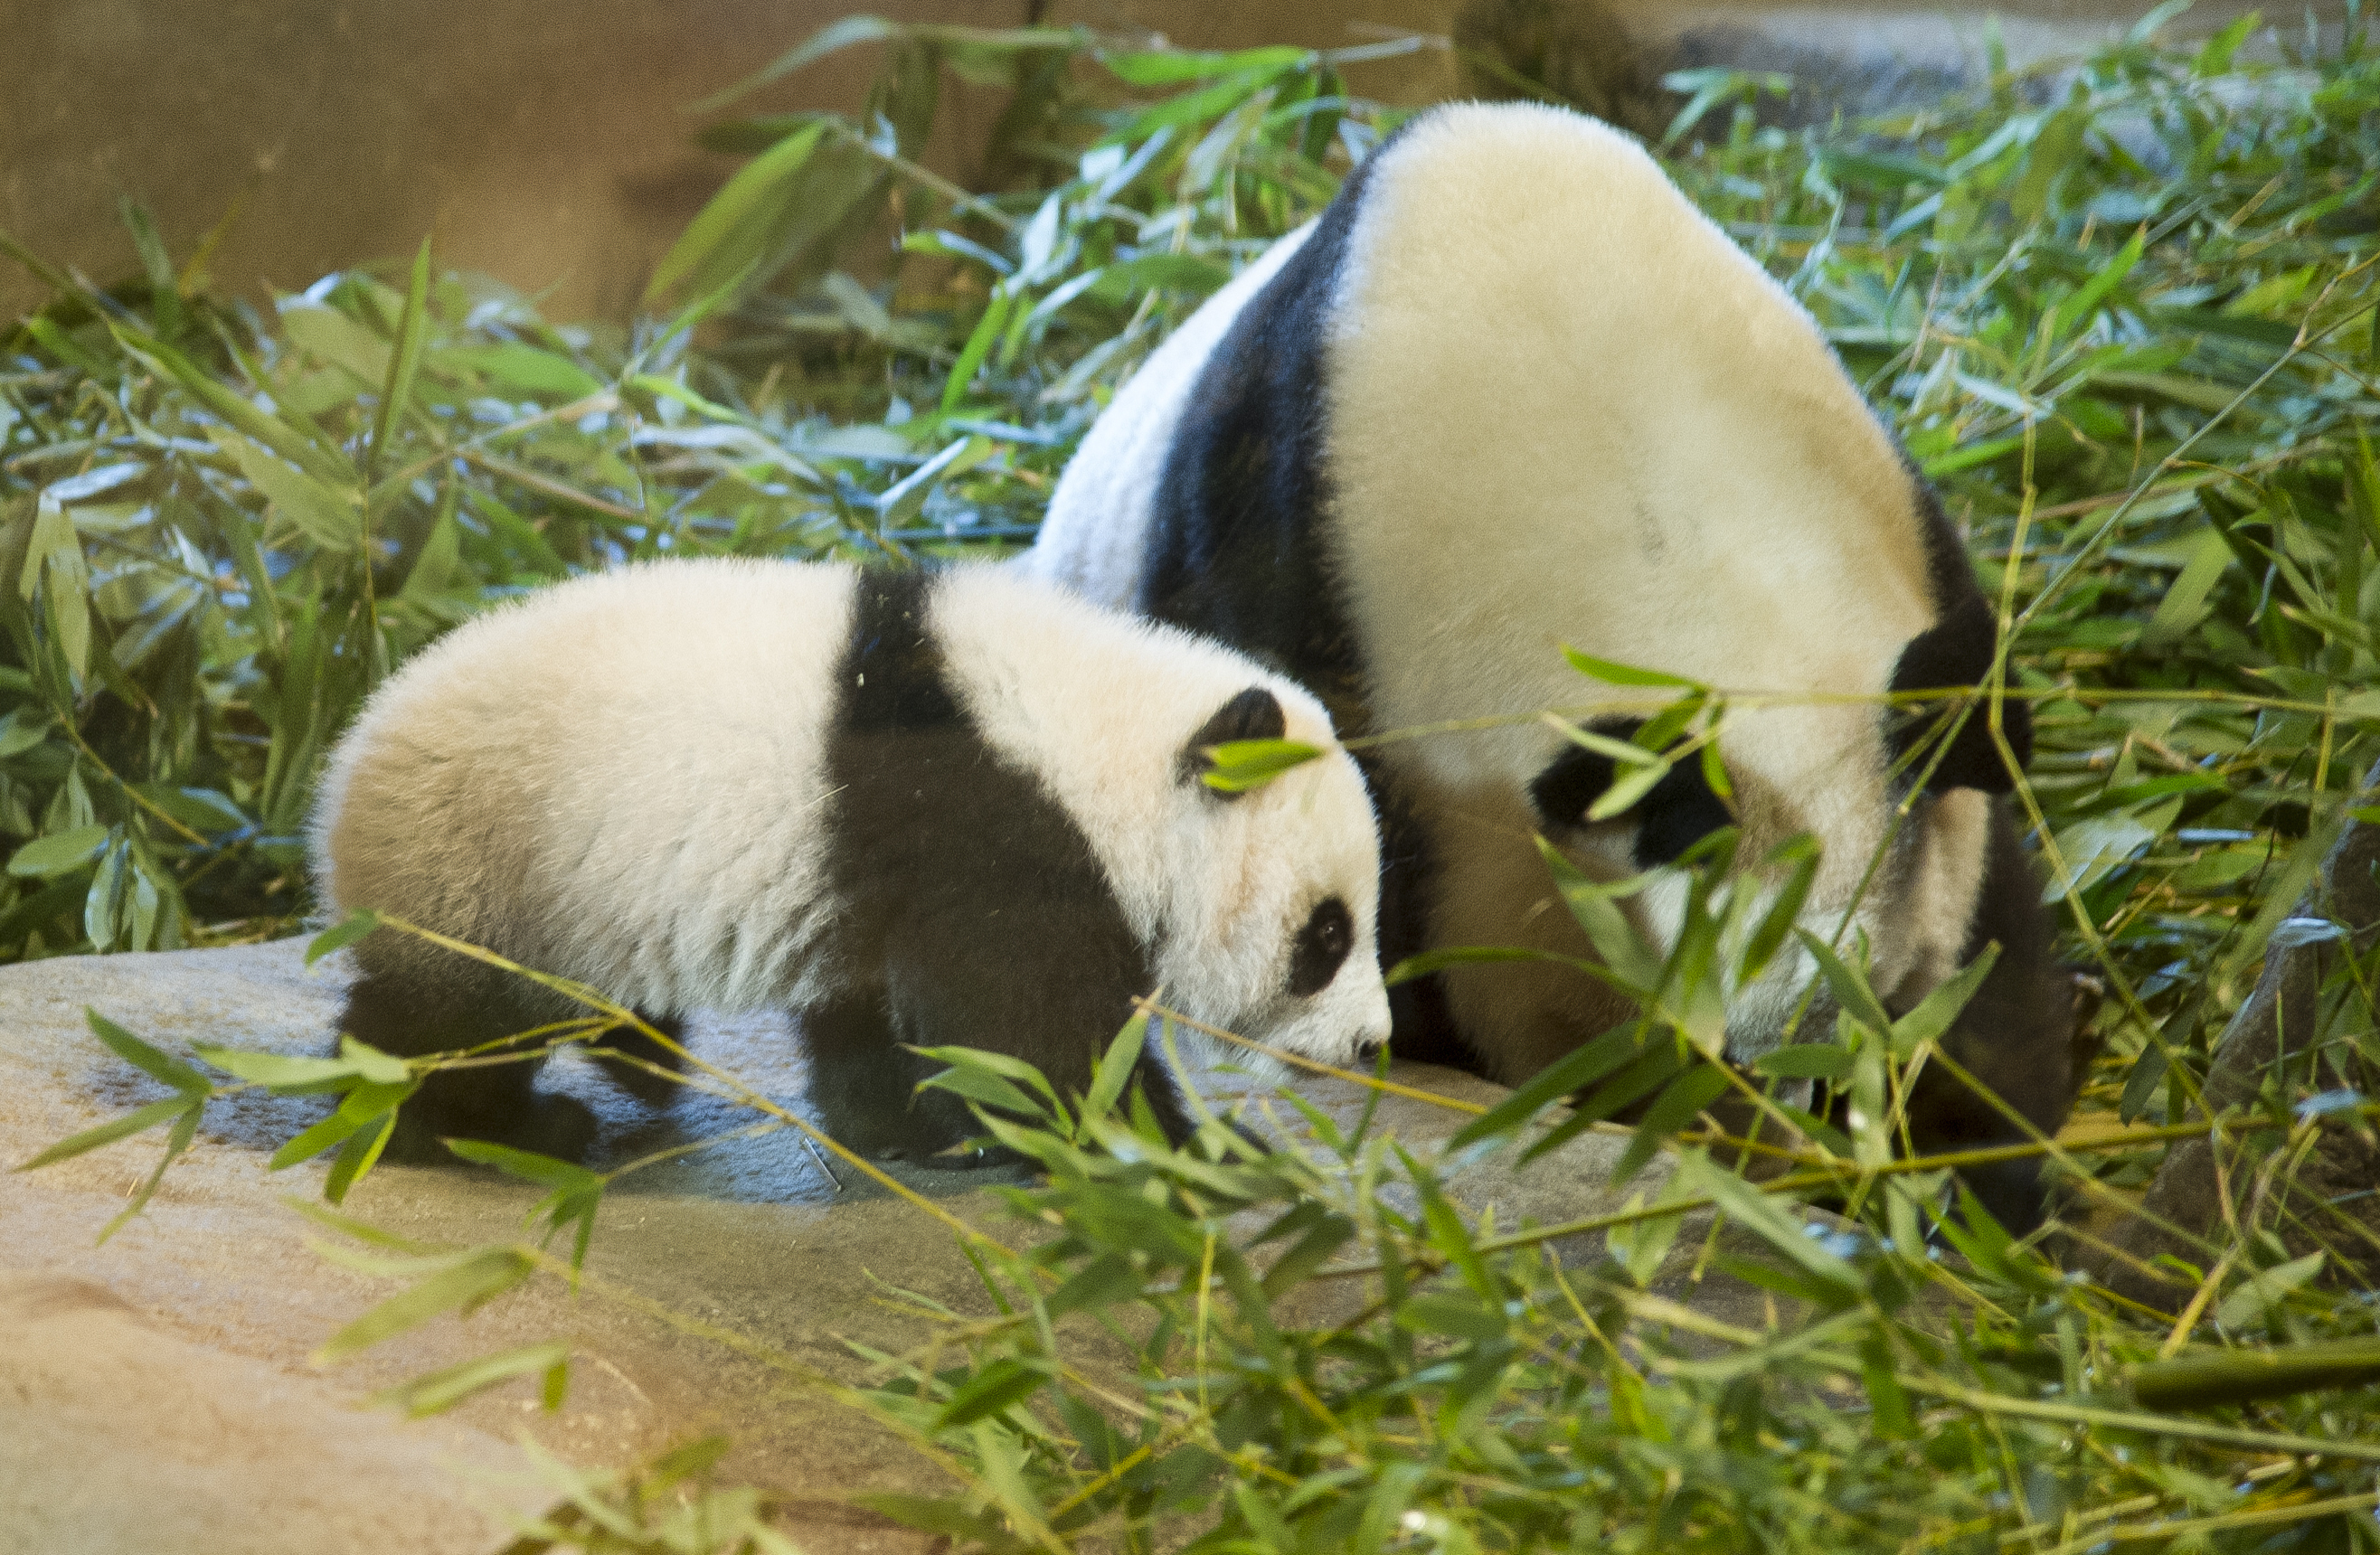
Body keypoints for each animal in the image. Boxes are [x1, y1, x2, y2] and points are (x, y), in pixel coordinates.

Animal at [316, 564, 1390, 1157]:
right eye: (1326, 936)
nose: (1373, 1044)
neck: (1102, 743)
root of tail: (341, 776)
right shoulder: (996, 834)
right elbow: (1035, 1041)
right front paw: (1194, 1154)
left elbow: (878, 1022)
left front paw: (908, 1134)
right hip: (481, 873)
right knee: (449, 1027)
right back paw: (460, 1131)